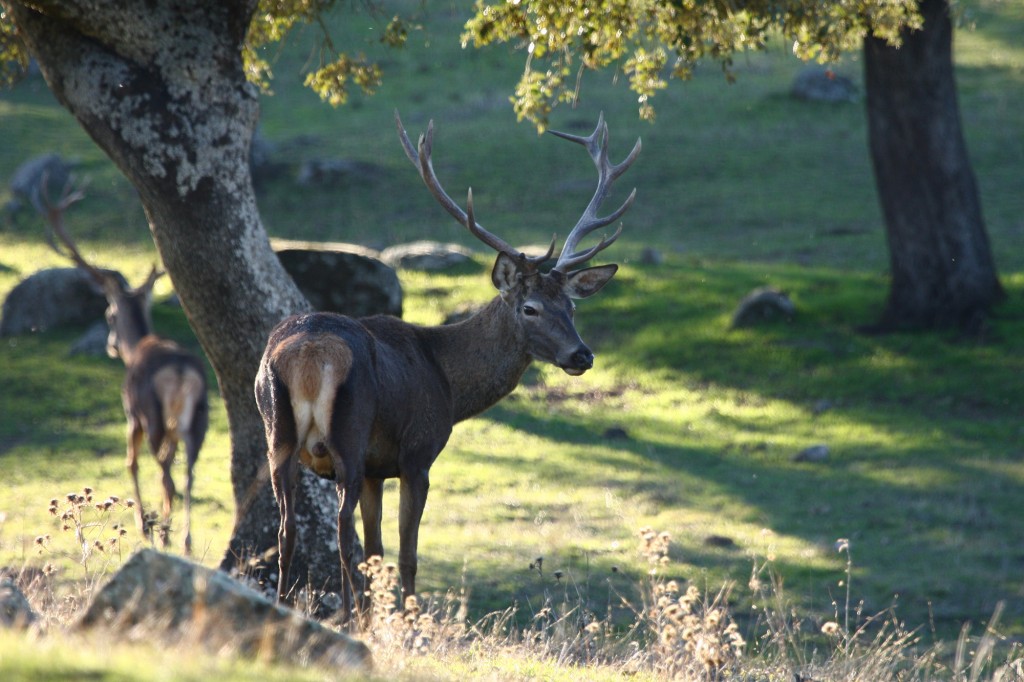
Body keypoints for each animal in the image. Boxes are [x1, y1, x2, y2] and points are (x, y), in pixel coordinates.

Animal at [45, 180, 208, 552]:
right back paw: (186, 540)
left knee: (164, 473)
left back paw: (162, 534)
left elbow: (130, 463)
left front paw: (143, 525)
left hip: (152, 414)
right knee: (188, 473)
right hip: (198, 417)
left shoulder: (131, 412)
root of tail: (181, 372)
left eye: (109, 314)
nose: (110, 345)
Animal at [256, 112, 638, 622]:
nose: (582, 355)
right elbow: (405, 553)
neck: (448, 384)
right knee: (340, 531)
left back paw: (283, 609)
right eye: (530, 308)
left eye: (571, 308)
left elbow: (377, 550)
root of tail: (310, 355)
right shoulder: (416, 454)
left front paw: (380, 621)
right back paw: (347, 616)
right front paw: (404, 622)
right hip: (347, 435)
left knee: (287, 531)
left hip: (276, 431)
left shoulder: (377, 469)